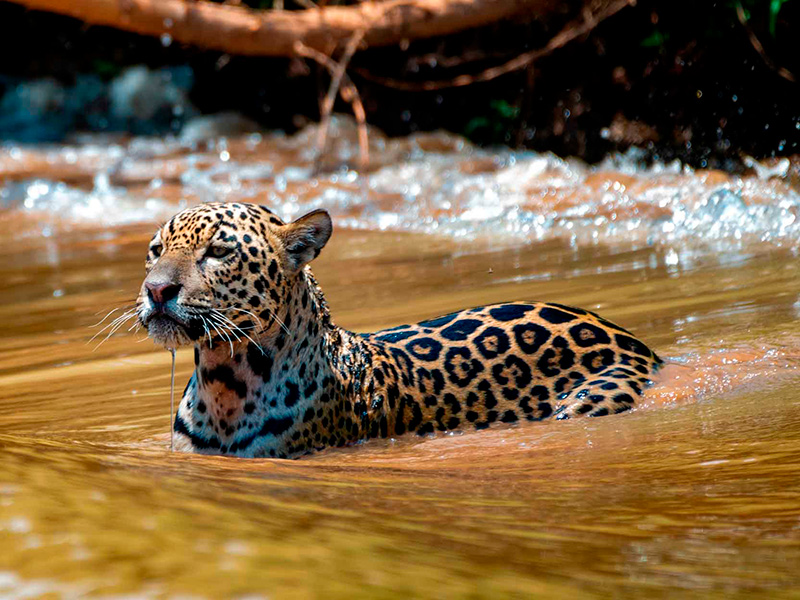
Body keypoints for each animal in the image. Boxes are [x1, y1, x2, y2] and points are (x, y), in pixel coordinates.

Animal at [138, 201, 663, 458]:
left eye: (218, 252)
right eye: (156, 249)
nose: (157, 289)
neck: (224, 381)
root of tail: (630, 337)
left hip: (592, 399)